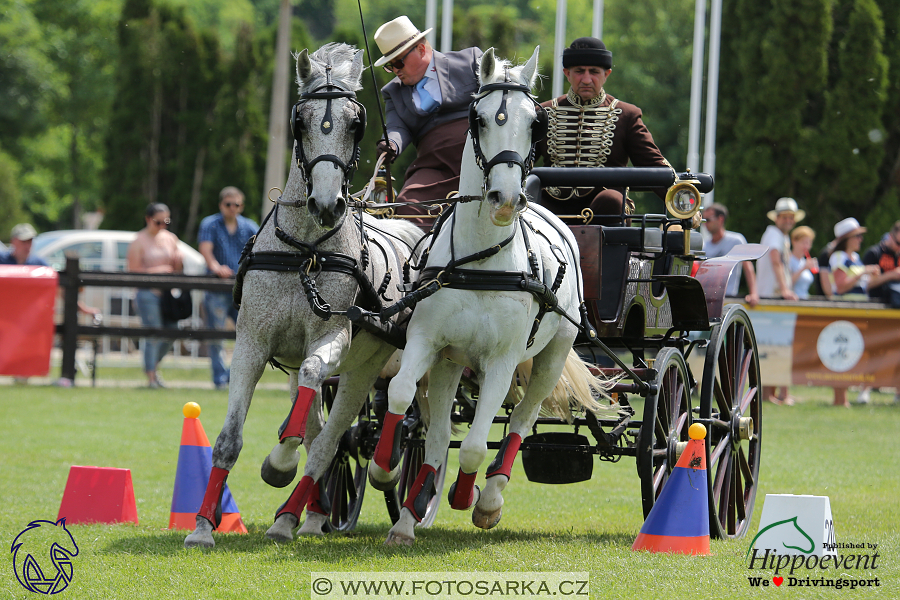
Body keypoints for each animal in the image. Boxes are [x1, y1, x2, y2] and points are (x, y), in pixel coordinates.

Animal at [185, 42, 424, 548]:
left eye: (355, 122)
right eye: (301, 120)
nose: (328, 204)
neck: (306, 253)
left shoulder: (331, 339)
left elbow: (311, 406)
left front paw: (279, 462)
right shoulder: (252, 343)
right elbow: (230, 439)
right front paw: (202, 526)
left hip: (365, 368)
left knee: (332, 441)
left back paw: (300, 505)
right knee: (321, 435)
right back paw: (307, 515)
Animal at [366, 45, 612, 544]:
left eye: (535, 123)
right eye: (478, 119)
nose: (505, 198)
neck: (481, 261)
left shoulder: (502, 360)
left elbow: (478, 446)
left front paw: (470, 499)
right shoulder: (427, 342)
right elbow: (401, 395)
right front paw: (387, 471)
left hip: (553, 352)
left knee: (522, 419)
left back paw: (487, 496)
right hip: (450, 363)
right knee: (438, 434)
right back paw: (411, 512)